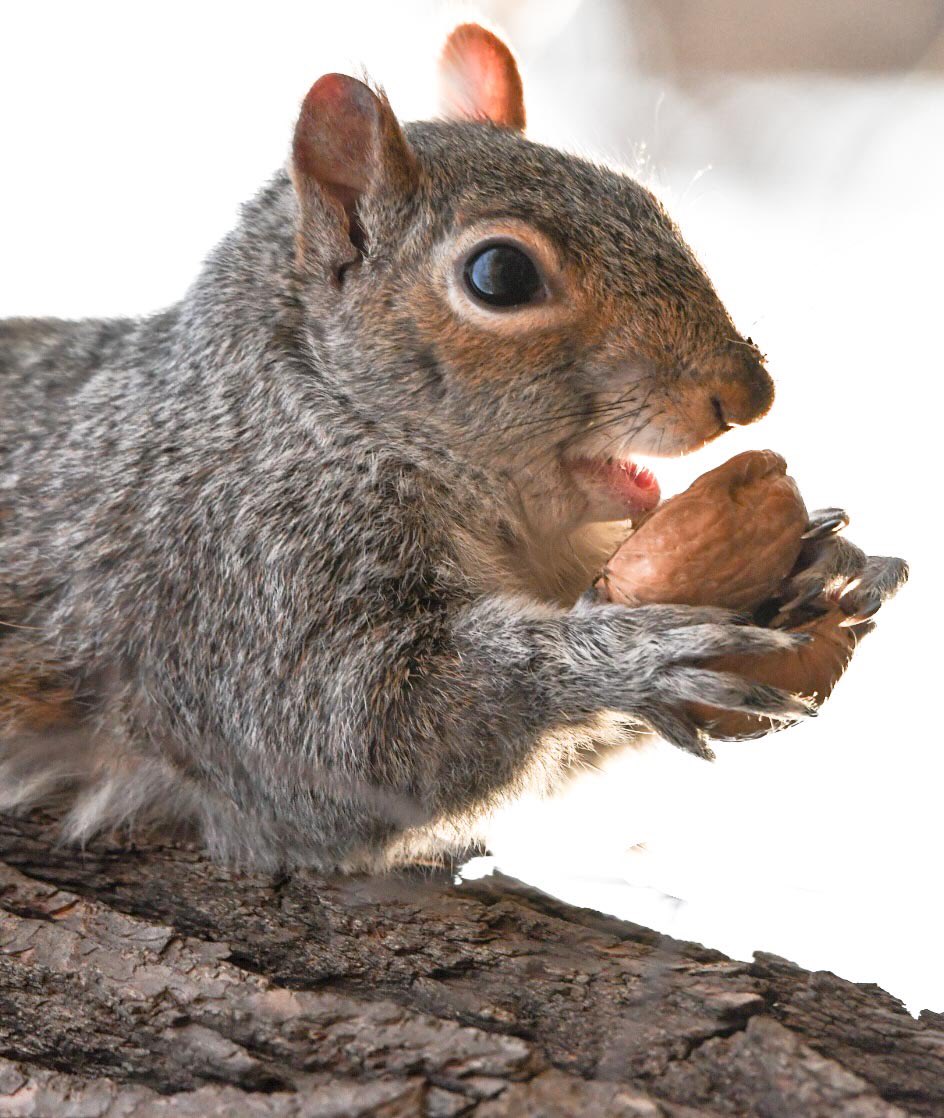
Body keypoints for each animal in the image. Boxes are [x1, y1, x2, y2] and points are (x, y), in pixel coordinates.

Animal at [0, 24, 907, 870]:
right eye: (500, 276)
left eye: (644, 202)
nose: (747, 393)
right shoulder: (244, 577)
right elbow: (342, 737)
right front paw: (633, 656)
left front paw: (823, 567)